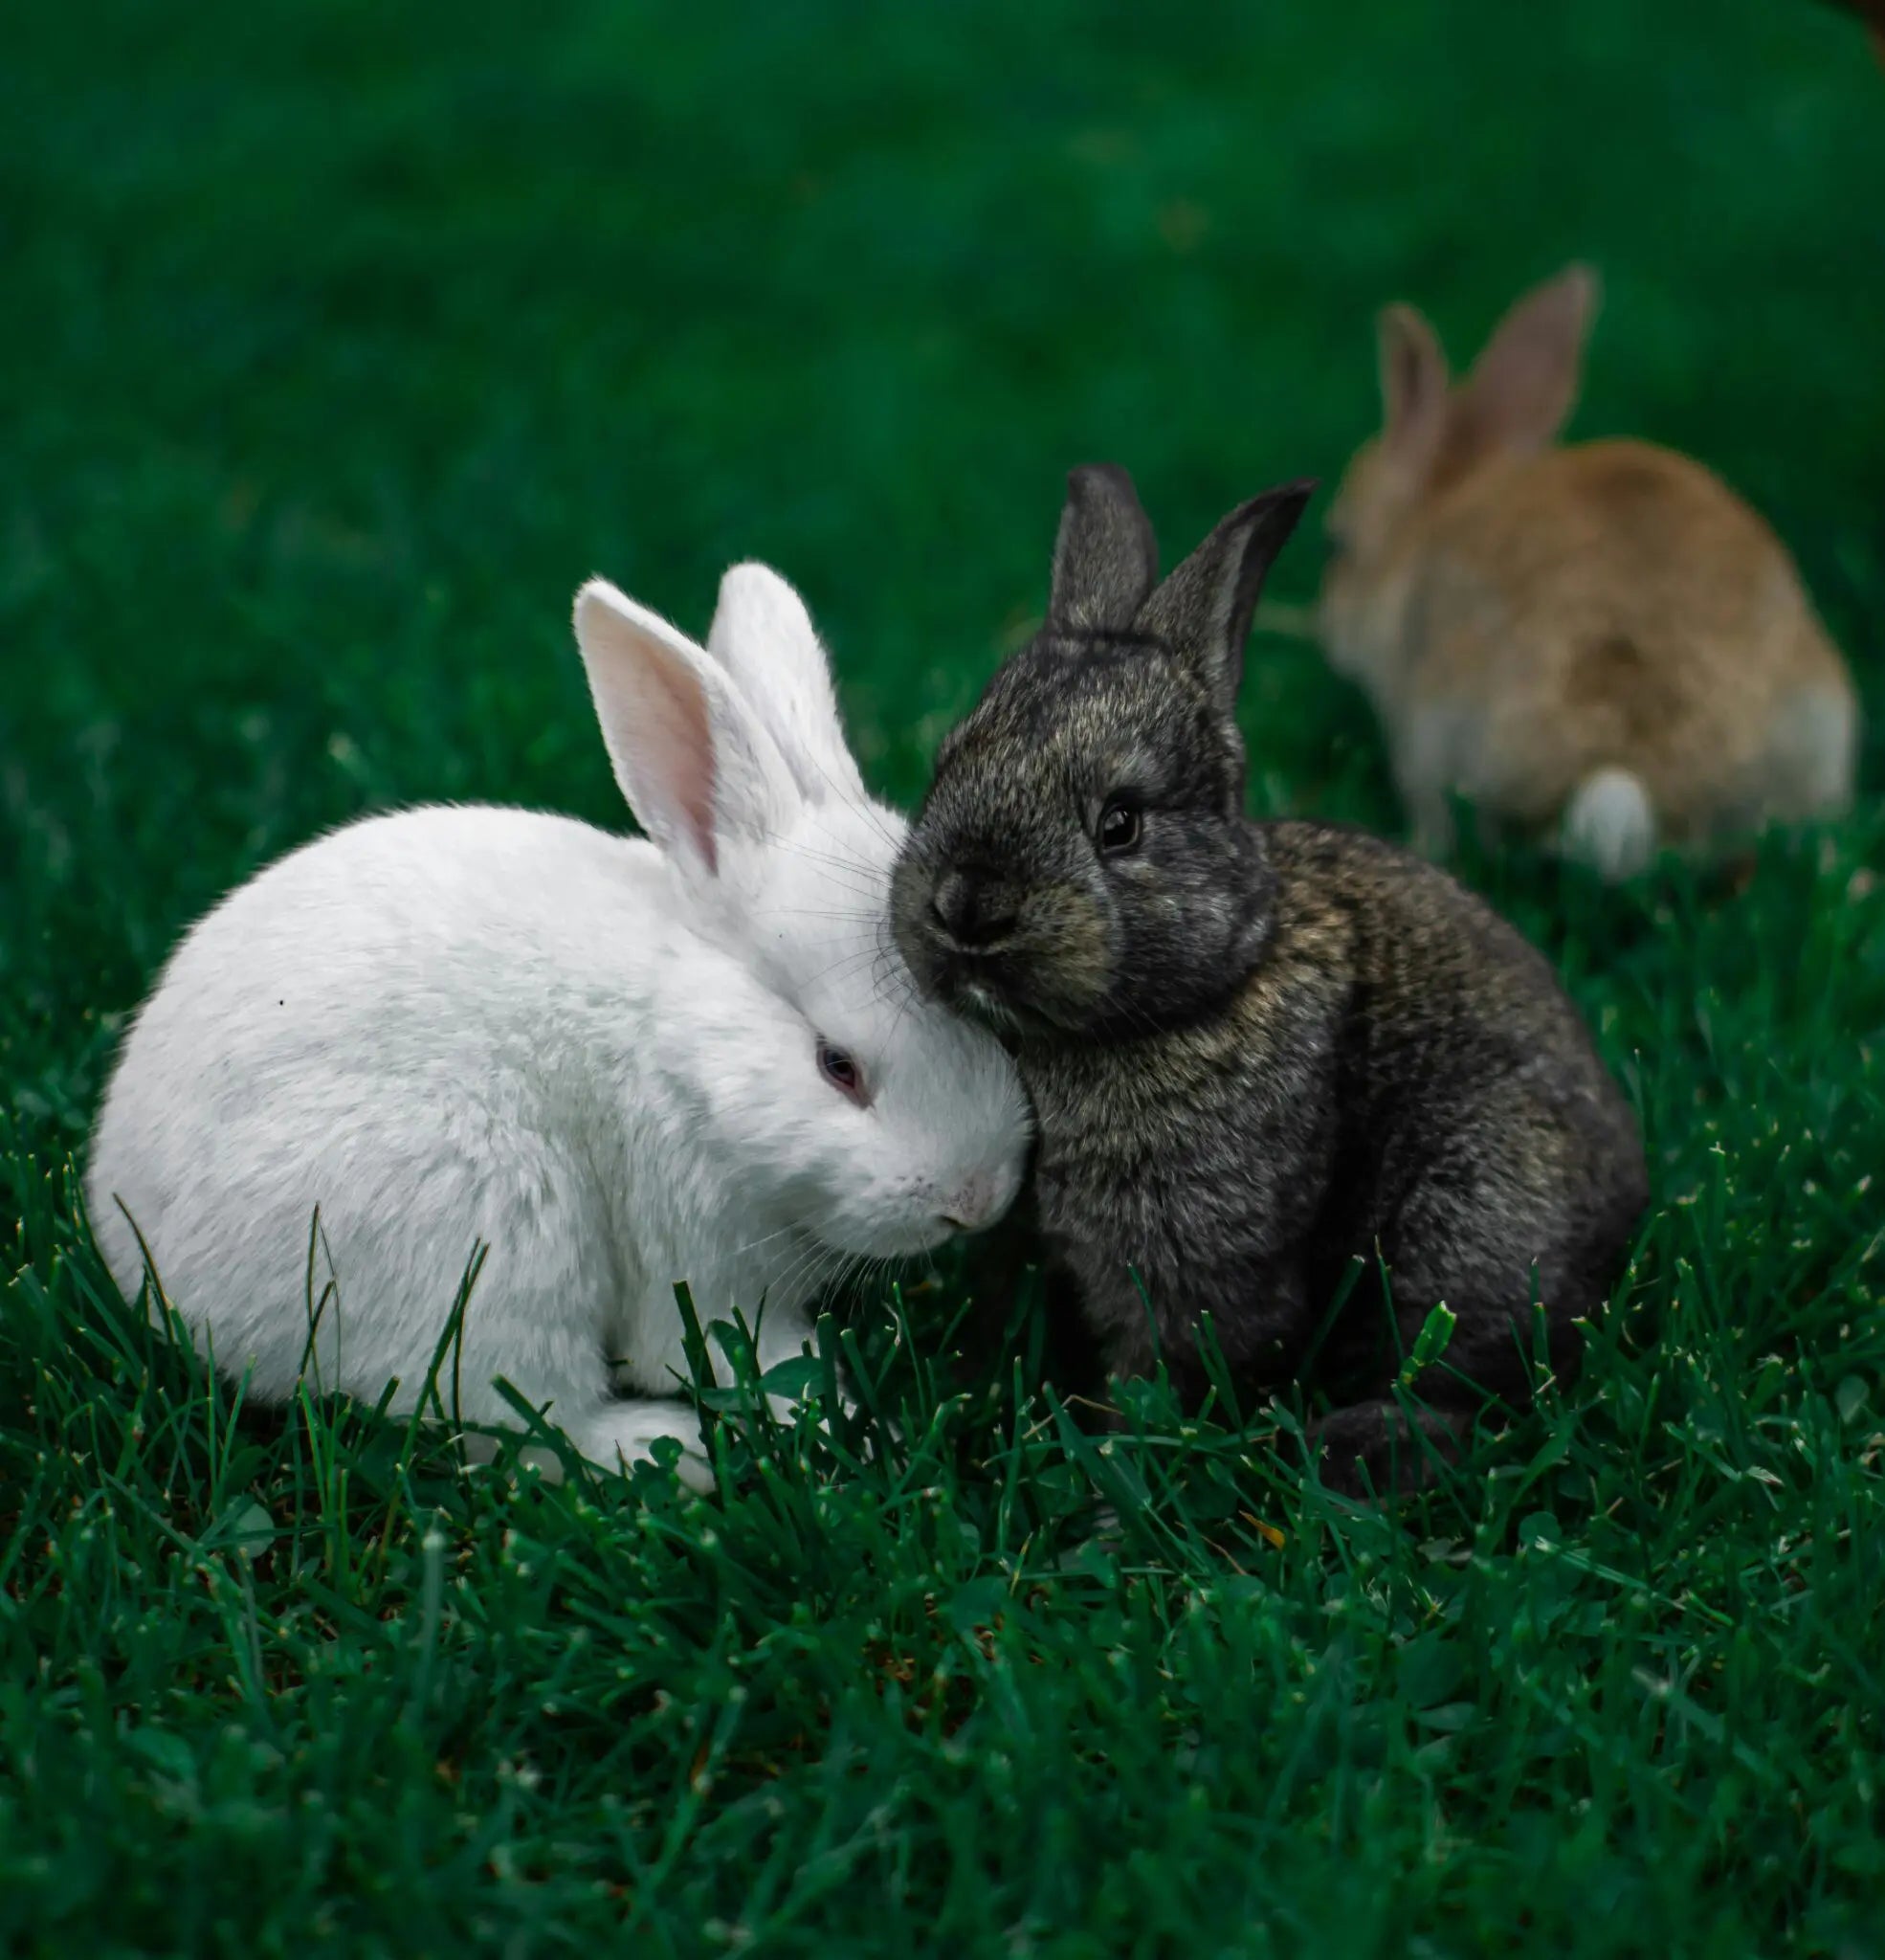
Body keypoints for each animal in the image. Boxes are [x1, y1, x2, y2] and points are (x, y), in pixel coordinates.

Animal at [86, 563, 1032, 1490]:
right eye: (837, 1065)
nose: (976, 1202)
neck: (685, 1048)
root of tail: (142, 1256)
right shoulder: (696, 1256)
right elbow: (738, 1354)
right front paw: (857, 1432)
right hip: (490, 1242)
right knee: (527, 1426)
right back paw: (670, 1451)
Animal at [889, 465, 1648, 1494]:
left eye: (1120, 823)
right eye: (946, 765)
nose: (967, 906)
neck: (1205, 983)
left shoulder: (1188, 1258)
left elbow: (1170, 1358)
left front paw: (1118, 1464)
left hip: (1477, 1215)